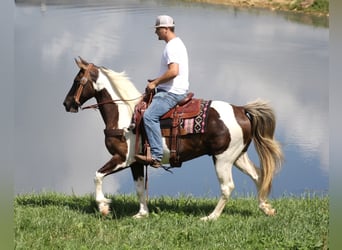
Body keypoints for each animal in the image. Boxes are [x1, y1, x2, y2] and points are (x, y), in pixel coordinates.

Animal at [63, 57, 284, 220]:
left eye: (76, 81)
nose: (67, 104)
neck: (124, 114)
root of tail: (240, 109)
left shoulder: (122, 159)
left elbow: (97, 175)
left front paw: (103, 207)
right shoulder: (136, 162)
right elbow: (139, 188)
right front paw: (142, 213)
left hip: (223, 159)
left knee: (228, 186)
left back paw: (211, 217)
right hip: (237, 156)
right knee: (258, 175)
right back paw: (266, 208)